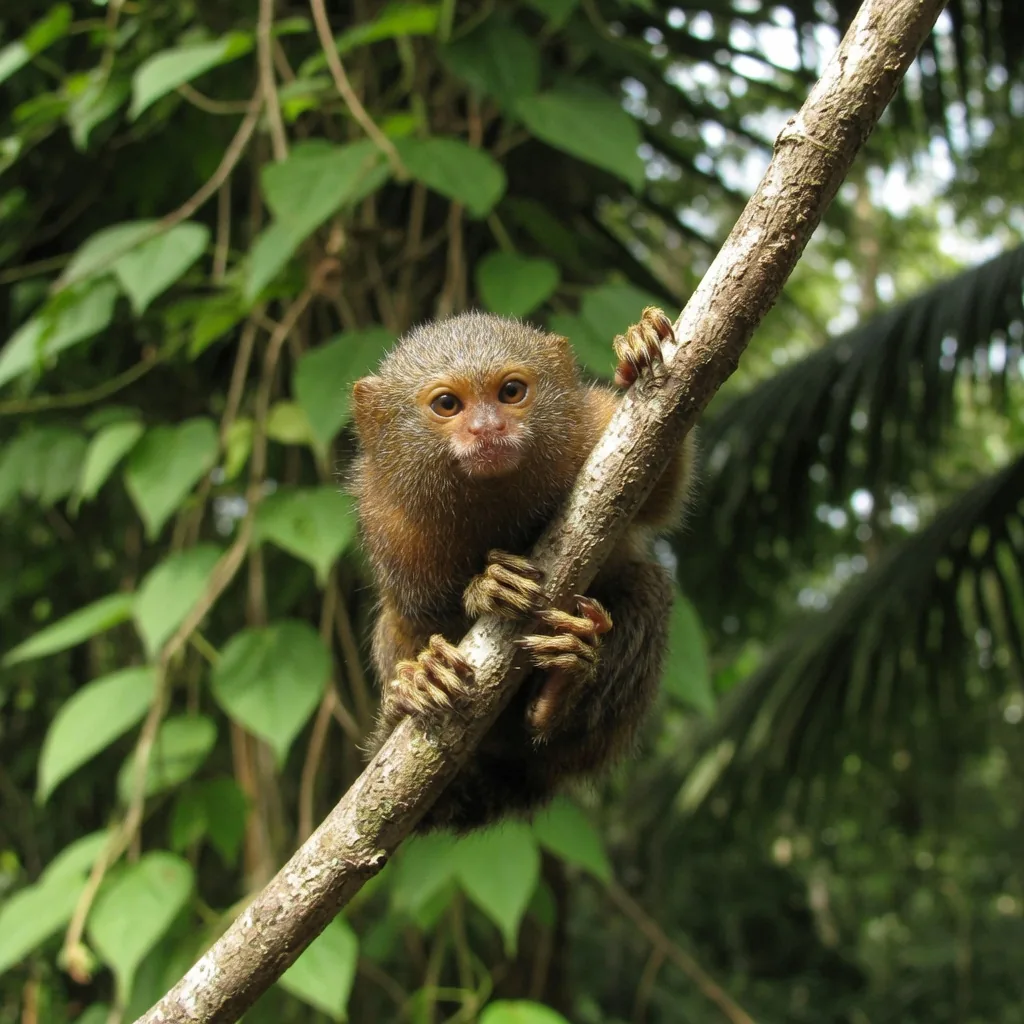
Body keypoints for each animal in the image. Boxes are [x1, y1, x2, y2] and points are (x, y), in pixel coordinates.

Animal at [350, 306, 697, 832]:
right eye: (448, 404)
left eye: (511, 392)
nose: (488, 428)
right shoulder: (388, 521)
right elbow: (421, 609)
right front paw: (487, 587)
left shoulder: (591, 425)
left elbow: (658, 491)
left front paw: (639, 347)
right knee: (393, 625)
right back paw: (412, 692)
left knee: (646, 585)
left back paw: (560, 692)